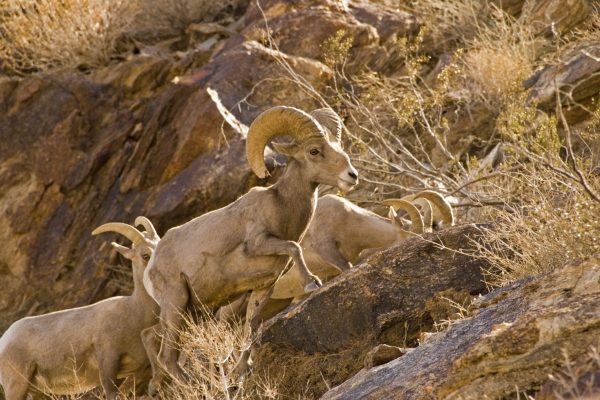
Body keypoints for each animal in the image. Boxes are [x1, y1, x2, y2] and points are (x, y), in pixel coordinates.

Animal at [0, 219, 159, 400]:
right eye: (145, 255)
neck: (133, 312)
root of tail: (4, 340)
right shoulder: (109, 361)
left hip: (37, 391)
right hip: (17, 386)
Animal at [143, 105, 358, 384]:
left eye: (338, 147)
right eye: (314, 151)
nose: (352, 176)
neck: (281, 207)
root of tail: (151, 265)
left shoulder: (262, 289)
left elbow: (251, 331)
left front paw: (241, 372)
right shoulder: (258, 243)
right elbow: (294, 246)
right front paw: (312, 282)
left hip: (193, 313)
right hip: (175, 305)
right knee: (168, 358)